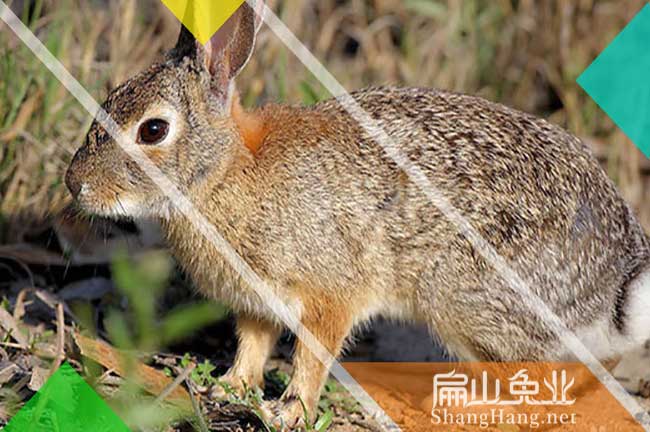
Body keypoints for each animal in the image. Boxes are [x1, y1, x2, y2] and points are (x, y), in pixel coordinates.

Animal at [62, 0, 648, 426]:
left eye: (153, 130)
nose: (76, 185)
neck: (224, 172)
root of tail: (613, 283)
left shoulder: (331, 292)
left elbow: (312, 355)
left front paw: (288, 411)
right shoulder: (257, 301)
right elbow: (253, 344)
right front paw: (228, 386)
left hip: (466, 300)